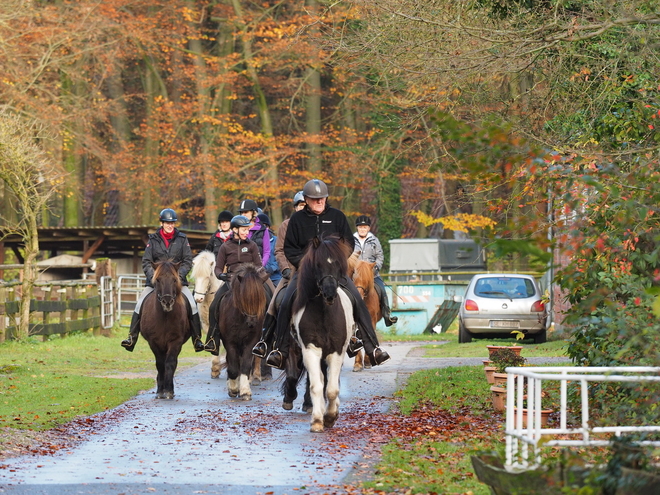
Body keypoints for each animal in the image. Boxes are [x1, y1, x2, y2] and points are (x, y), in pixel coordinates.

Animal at [140, 262, 189, 402]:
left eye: (174, 280)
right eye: (157, 280)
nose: (167, 302)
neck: (164, 316)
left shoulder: (176, 341)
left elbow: (170, 363)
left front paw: (168, 391)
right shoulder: (153, 342)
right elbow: (160, 364)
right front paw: (160, 391)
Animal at [215, 264, 270, 400]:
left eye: (261, 299)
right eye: (244, 298)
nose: (252, 323)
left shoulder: (251, 341)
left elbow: (245, 365)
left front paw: (244, 391)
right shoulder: (229, 341)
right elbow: (233, 367)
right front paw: (233, 389)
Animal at [282, 234, 358, 432]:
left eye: (338, 264)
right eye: (318, 264)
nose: (330, 292)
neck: (324, 313)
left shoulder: (336, 352)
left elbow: (331, 389)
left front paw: (330, 417)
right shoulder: (310, 350)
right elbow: (316, 385)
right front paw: (317, 420)